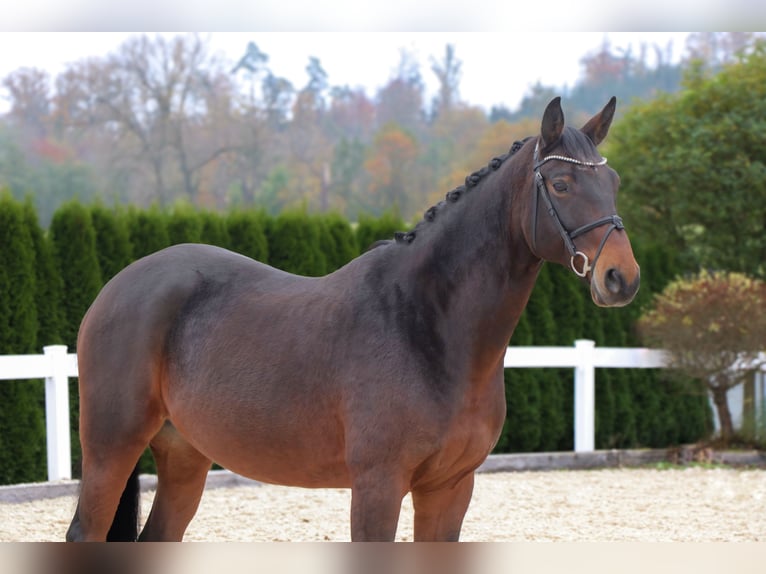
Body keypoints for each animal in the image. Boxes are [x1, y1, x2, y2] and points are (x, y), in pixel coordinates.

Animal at [66, 97, 640, 544]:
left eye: (613, 180)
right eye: (561, 184)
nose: (621, 277)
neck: (428, 329)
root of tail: (119, 286)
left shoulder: (451, 487)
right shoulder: (378, 486)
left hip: (185, 456)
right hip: (112, 448)